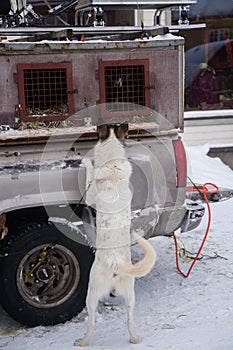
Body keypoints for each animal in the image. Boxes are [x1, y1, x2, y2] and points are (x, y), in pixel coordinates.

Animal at [74, 123, 157, 348]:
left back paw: (83, 341)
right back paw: (134, 338)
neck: (113, 167)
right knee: (129, 318)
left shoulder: (90, 196)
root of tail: (115, 264)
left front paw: (86, 162)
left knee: (92, 321)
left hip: (91, 292)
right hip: (130, 294)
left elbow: (90, 173)